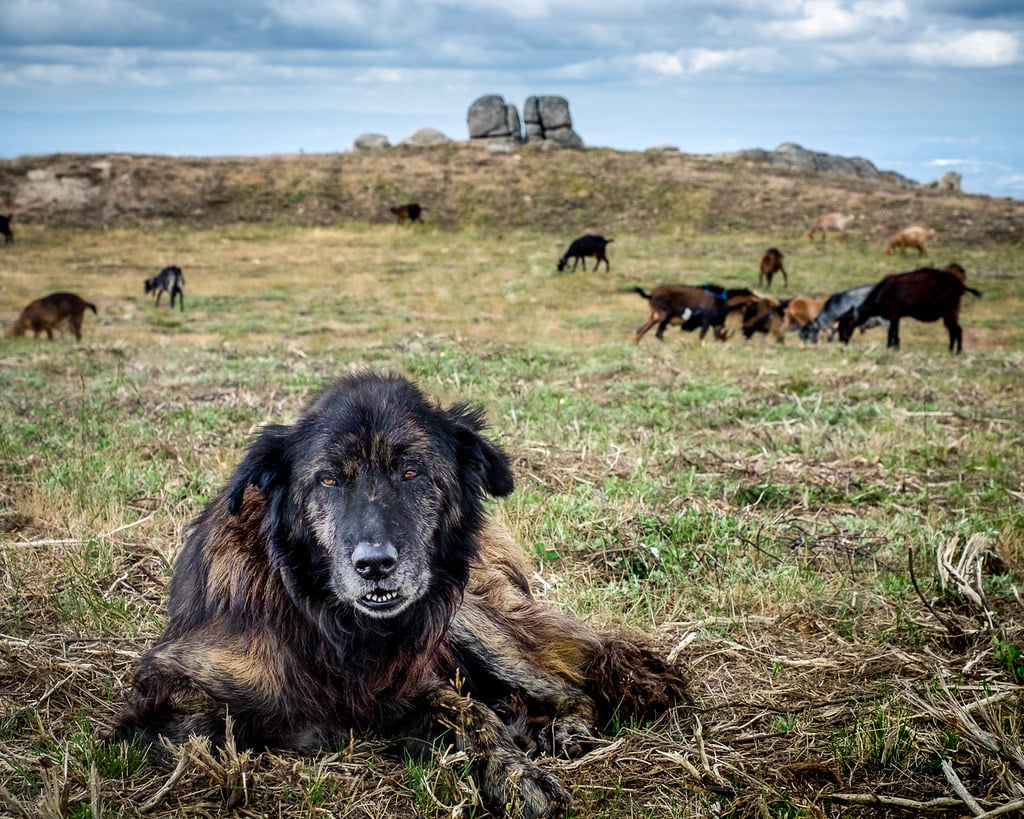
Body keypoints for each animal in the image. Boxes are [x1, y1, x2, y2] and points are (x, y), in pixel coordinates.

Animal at [110, 372, 688, 818]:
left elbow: (464, 709)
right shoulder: (167, 685)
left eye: (412, 473)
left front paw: (514, 770)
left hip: (471, 616)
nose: (374, 565)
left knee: (572, 685)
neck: (332, 624)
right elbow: (219, 725)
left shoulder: (416, 674)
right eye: (328, 481)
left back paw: (559, 725)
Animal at [626, 284, 757, 341]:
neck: (723, 301)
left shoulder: (716, 324)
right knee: (658, 334)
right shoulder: (706, 321)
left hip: (655, 317)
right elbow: (702, 336)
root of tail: (651, 295)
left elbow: (716, 337)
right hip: (665, 315)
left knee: (640, 331)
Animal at [839, 264, 983, 350]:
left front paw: (889, 348)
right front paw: (894, 348)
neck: (882, 293)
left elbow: (892, 333)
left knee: (957, 330)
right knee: (954, 330)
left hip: (950, 310)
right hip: (951, 311)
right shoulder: (896, 317)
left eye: (846, 325)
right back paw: (951, 350)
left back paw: (957, 351)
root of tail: (960, 284)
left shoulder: (894, 315)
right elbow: (895, 334)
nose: (842, 341)